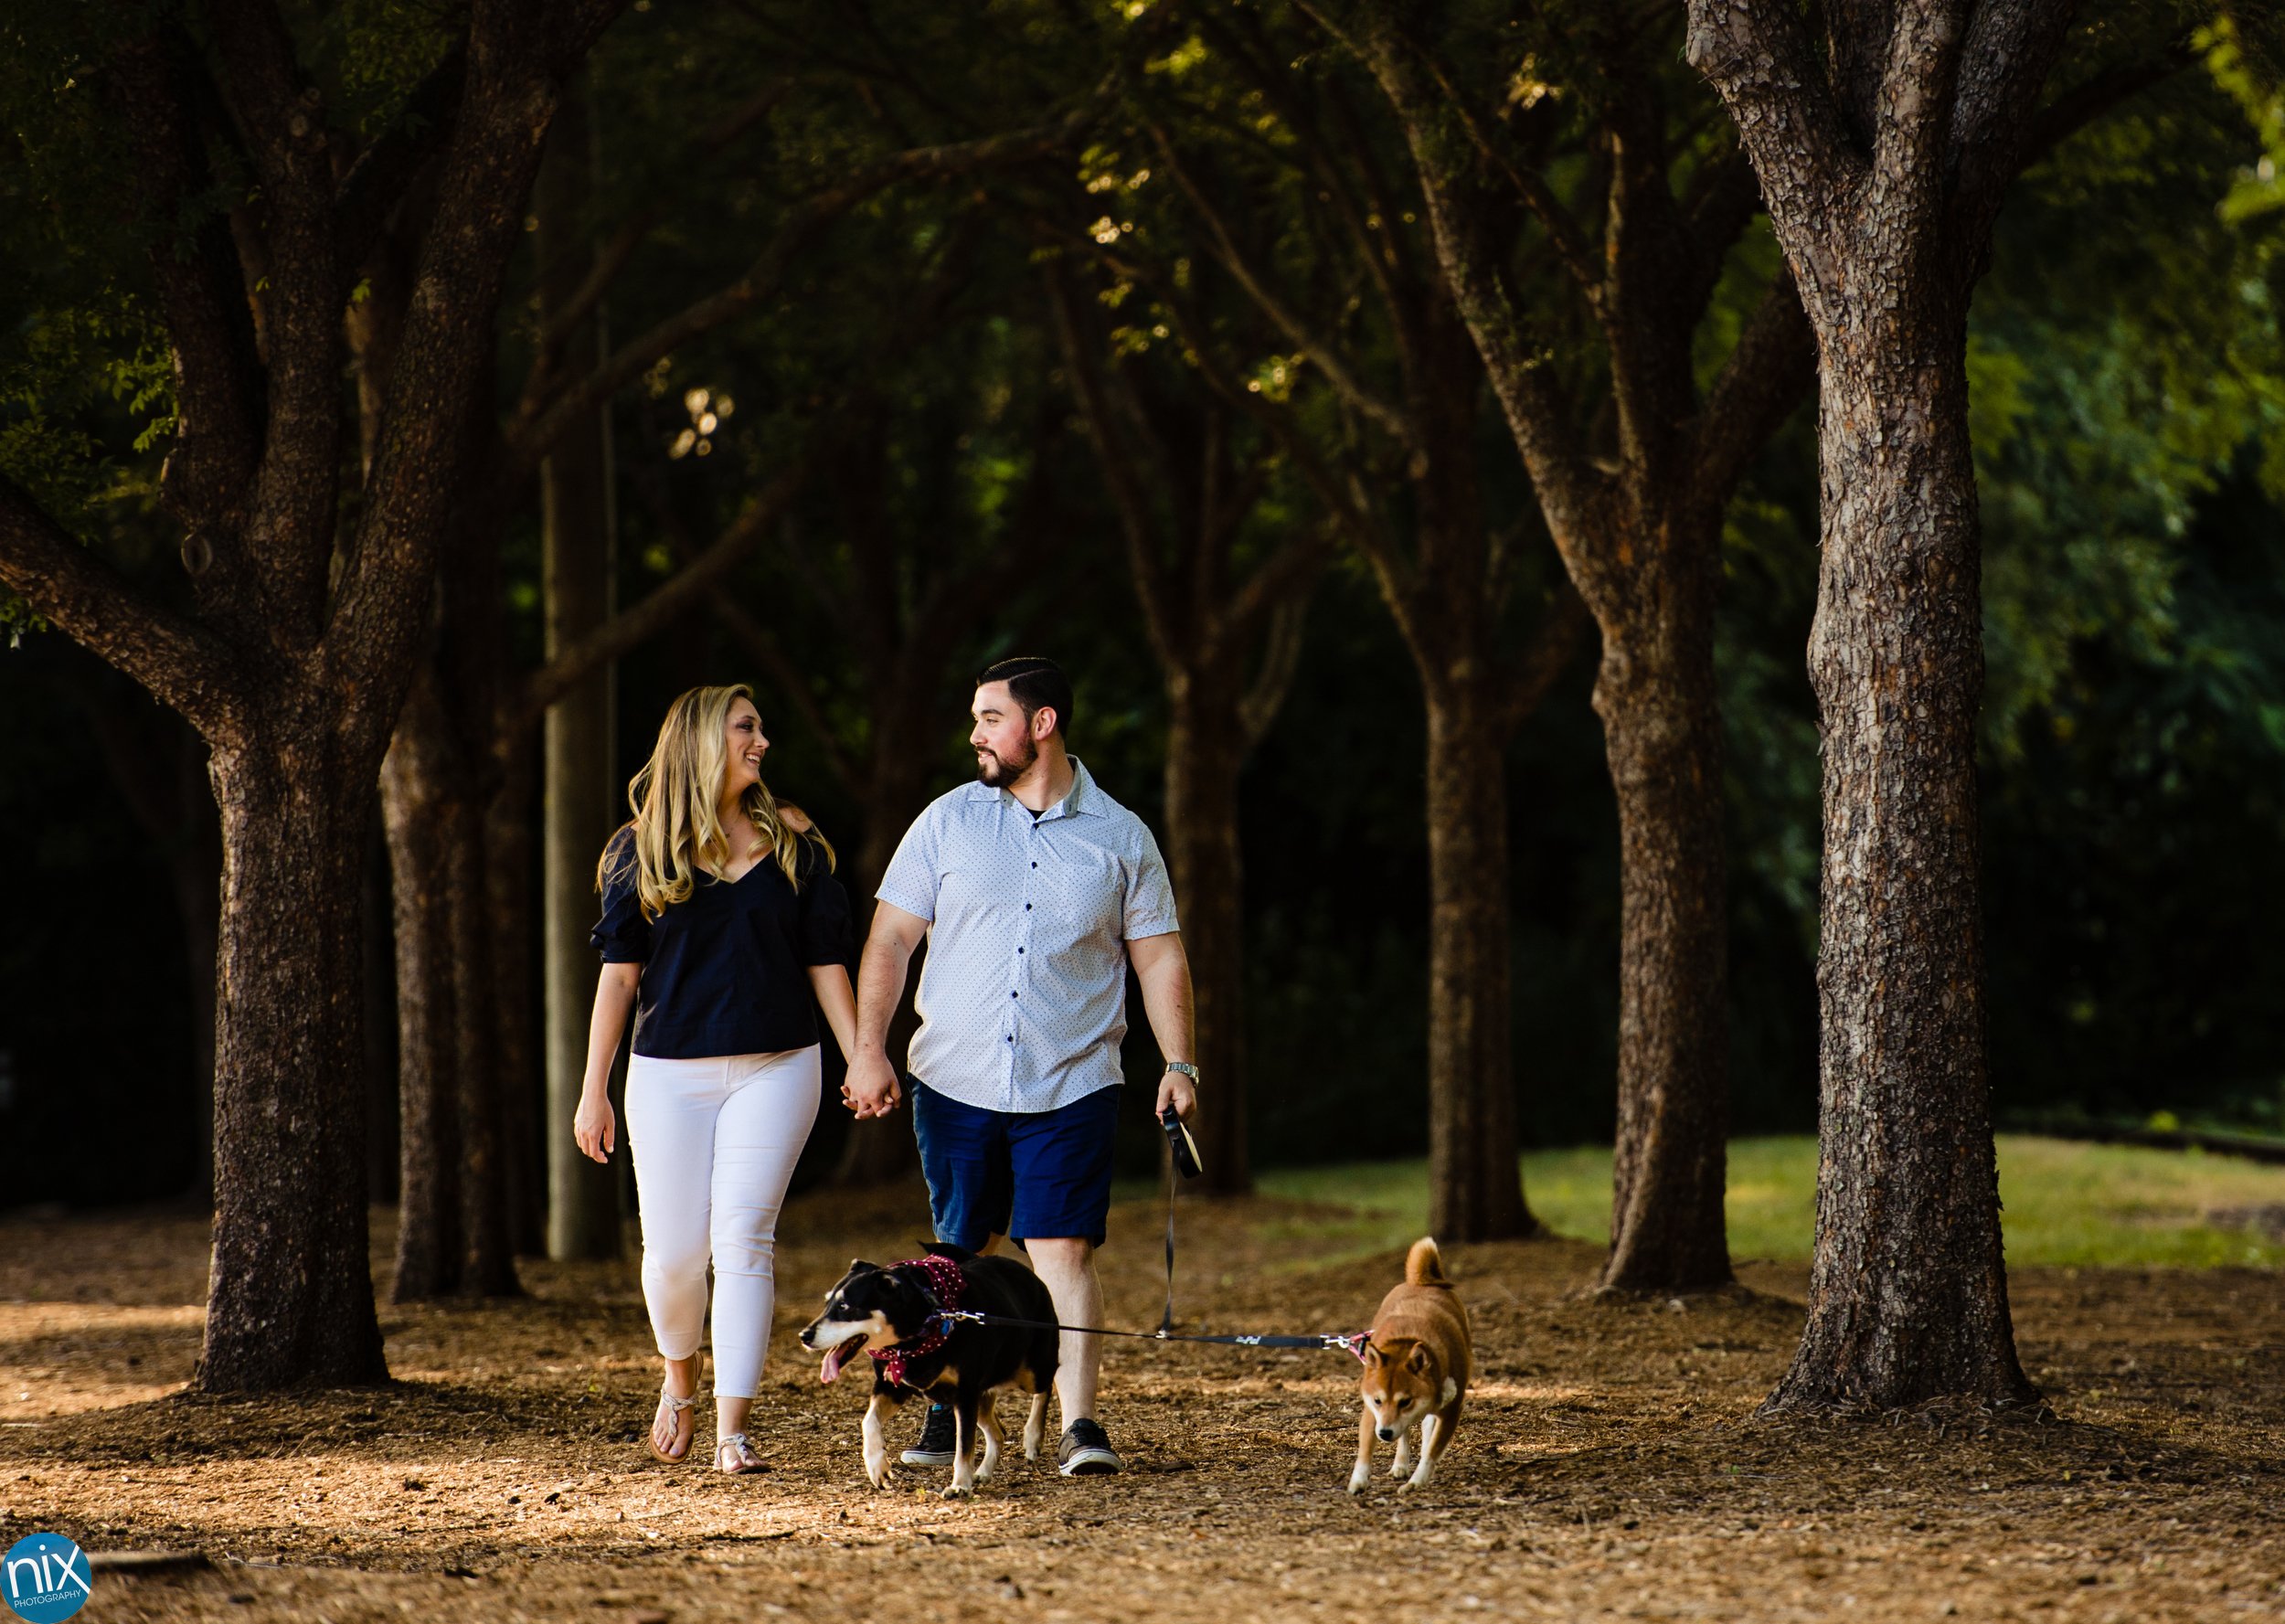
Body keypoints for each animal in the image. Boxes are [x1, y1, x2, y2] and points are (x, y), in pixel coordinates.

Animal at [795, 1242, 1060, 1498]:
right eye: (827, 1303)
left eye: (844, 1306)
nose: (804, 1336)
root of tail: (1029, 1274)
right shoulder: (891, 1387)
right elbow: (868, 1421)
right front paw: (877, 1466)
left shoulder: (964, 1395)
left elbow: (964, 1446)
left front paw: (960, 1486)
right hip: (985, 1393)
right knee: (999, 1432)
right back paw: (984, 1472)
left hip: (1031, 1372)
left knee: (1048, 1385)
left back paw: (1033, 1437)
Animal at [1344, 1242, 1472, 1498]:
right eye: (1378, 1400)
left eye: (1406, 1401)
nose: (1384, 1433)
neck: (1409, 1338)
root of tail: (1420, 1282)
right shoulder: (1372, 1413)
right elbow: (1365, 1451)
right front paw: (1358, 1482)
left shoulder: (1452, 1410)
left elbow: (1432, 1451)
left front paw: (1417, 1482)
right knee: (1405, 1434)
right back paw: (1400, 1465)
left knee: (1425, 1429)